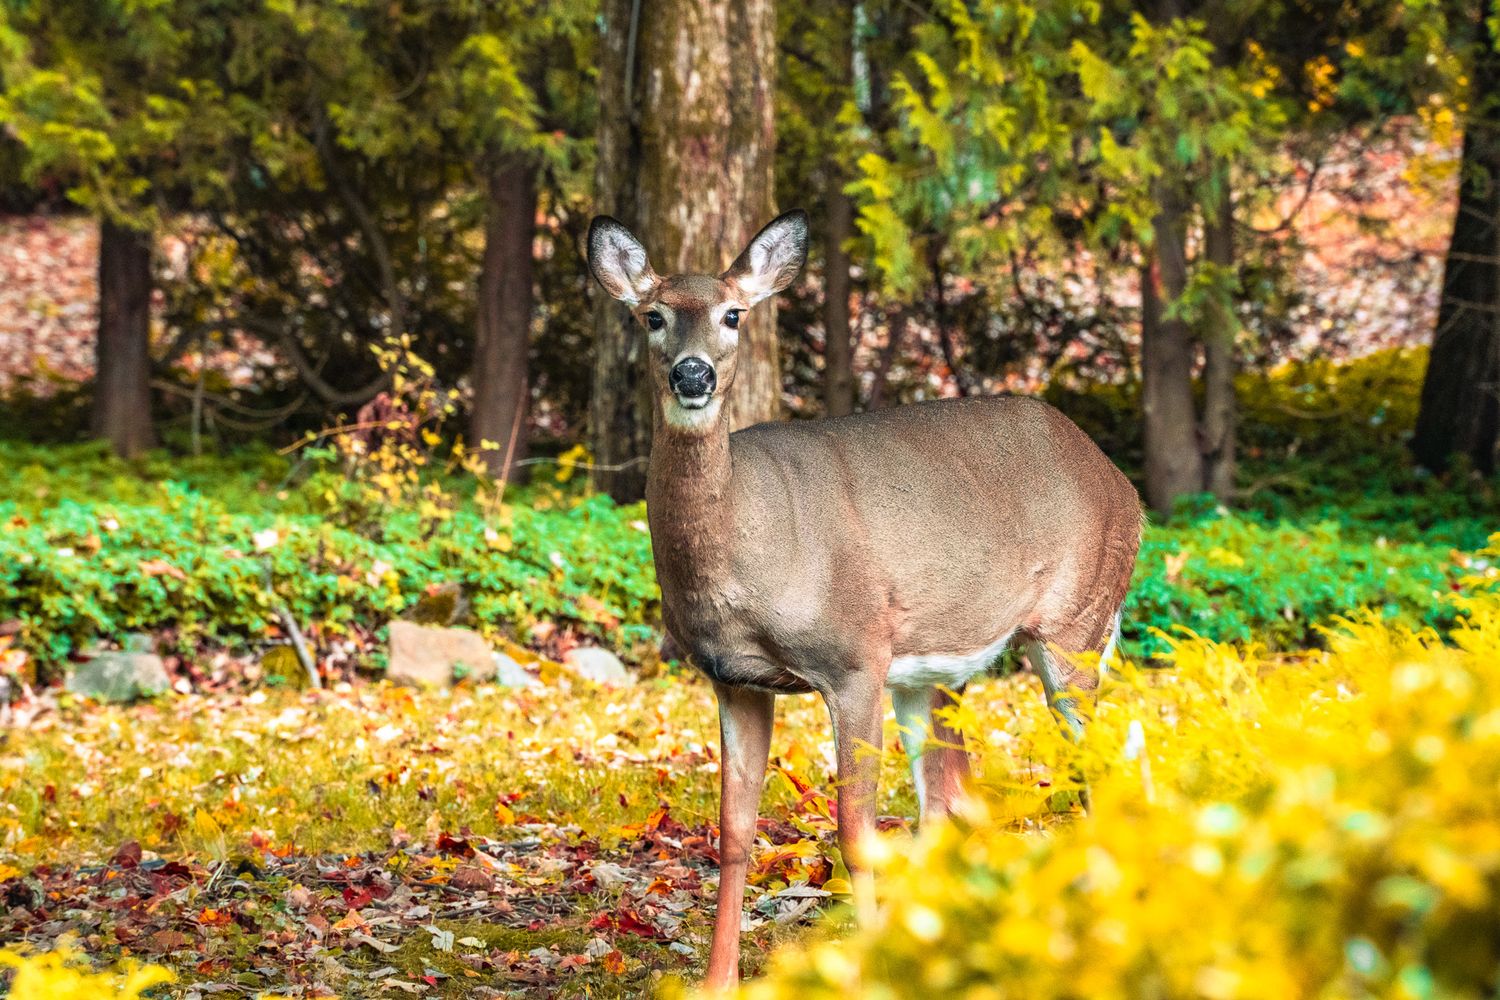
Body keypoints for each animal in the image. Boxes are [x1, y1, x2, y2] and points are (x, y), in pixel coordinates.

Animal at [586, 209, 1142, 988]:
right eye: (653, 315)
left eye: (733, 314)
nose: (692, 373)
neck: (750, 544)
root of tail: (1121, 483)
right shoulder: (734, 680)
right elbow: (733, 833)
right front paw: (718, 981)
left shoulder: (853, 660)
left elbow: (857, 832)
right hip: (939, 671)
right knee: (956, 797)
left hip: (1076, 623)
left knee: (1094, 768)